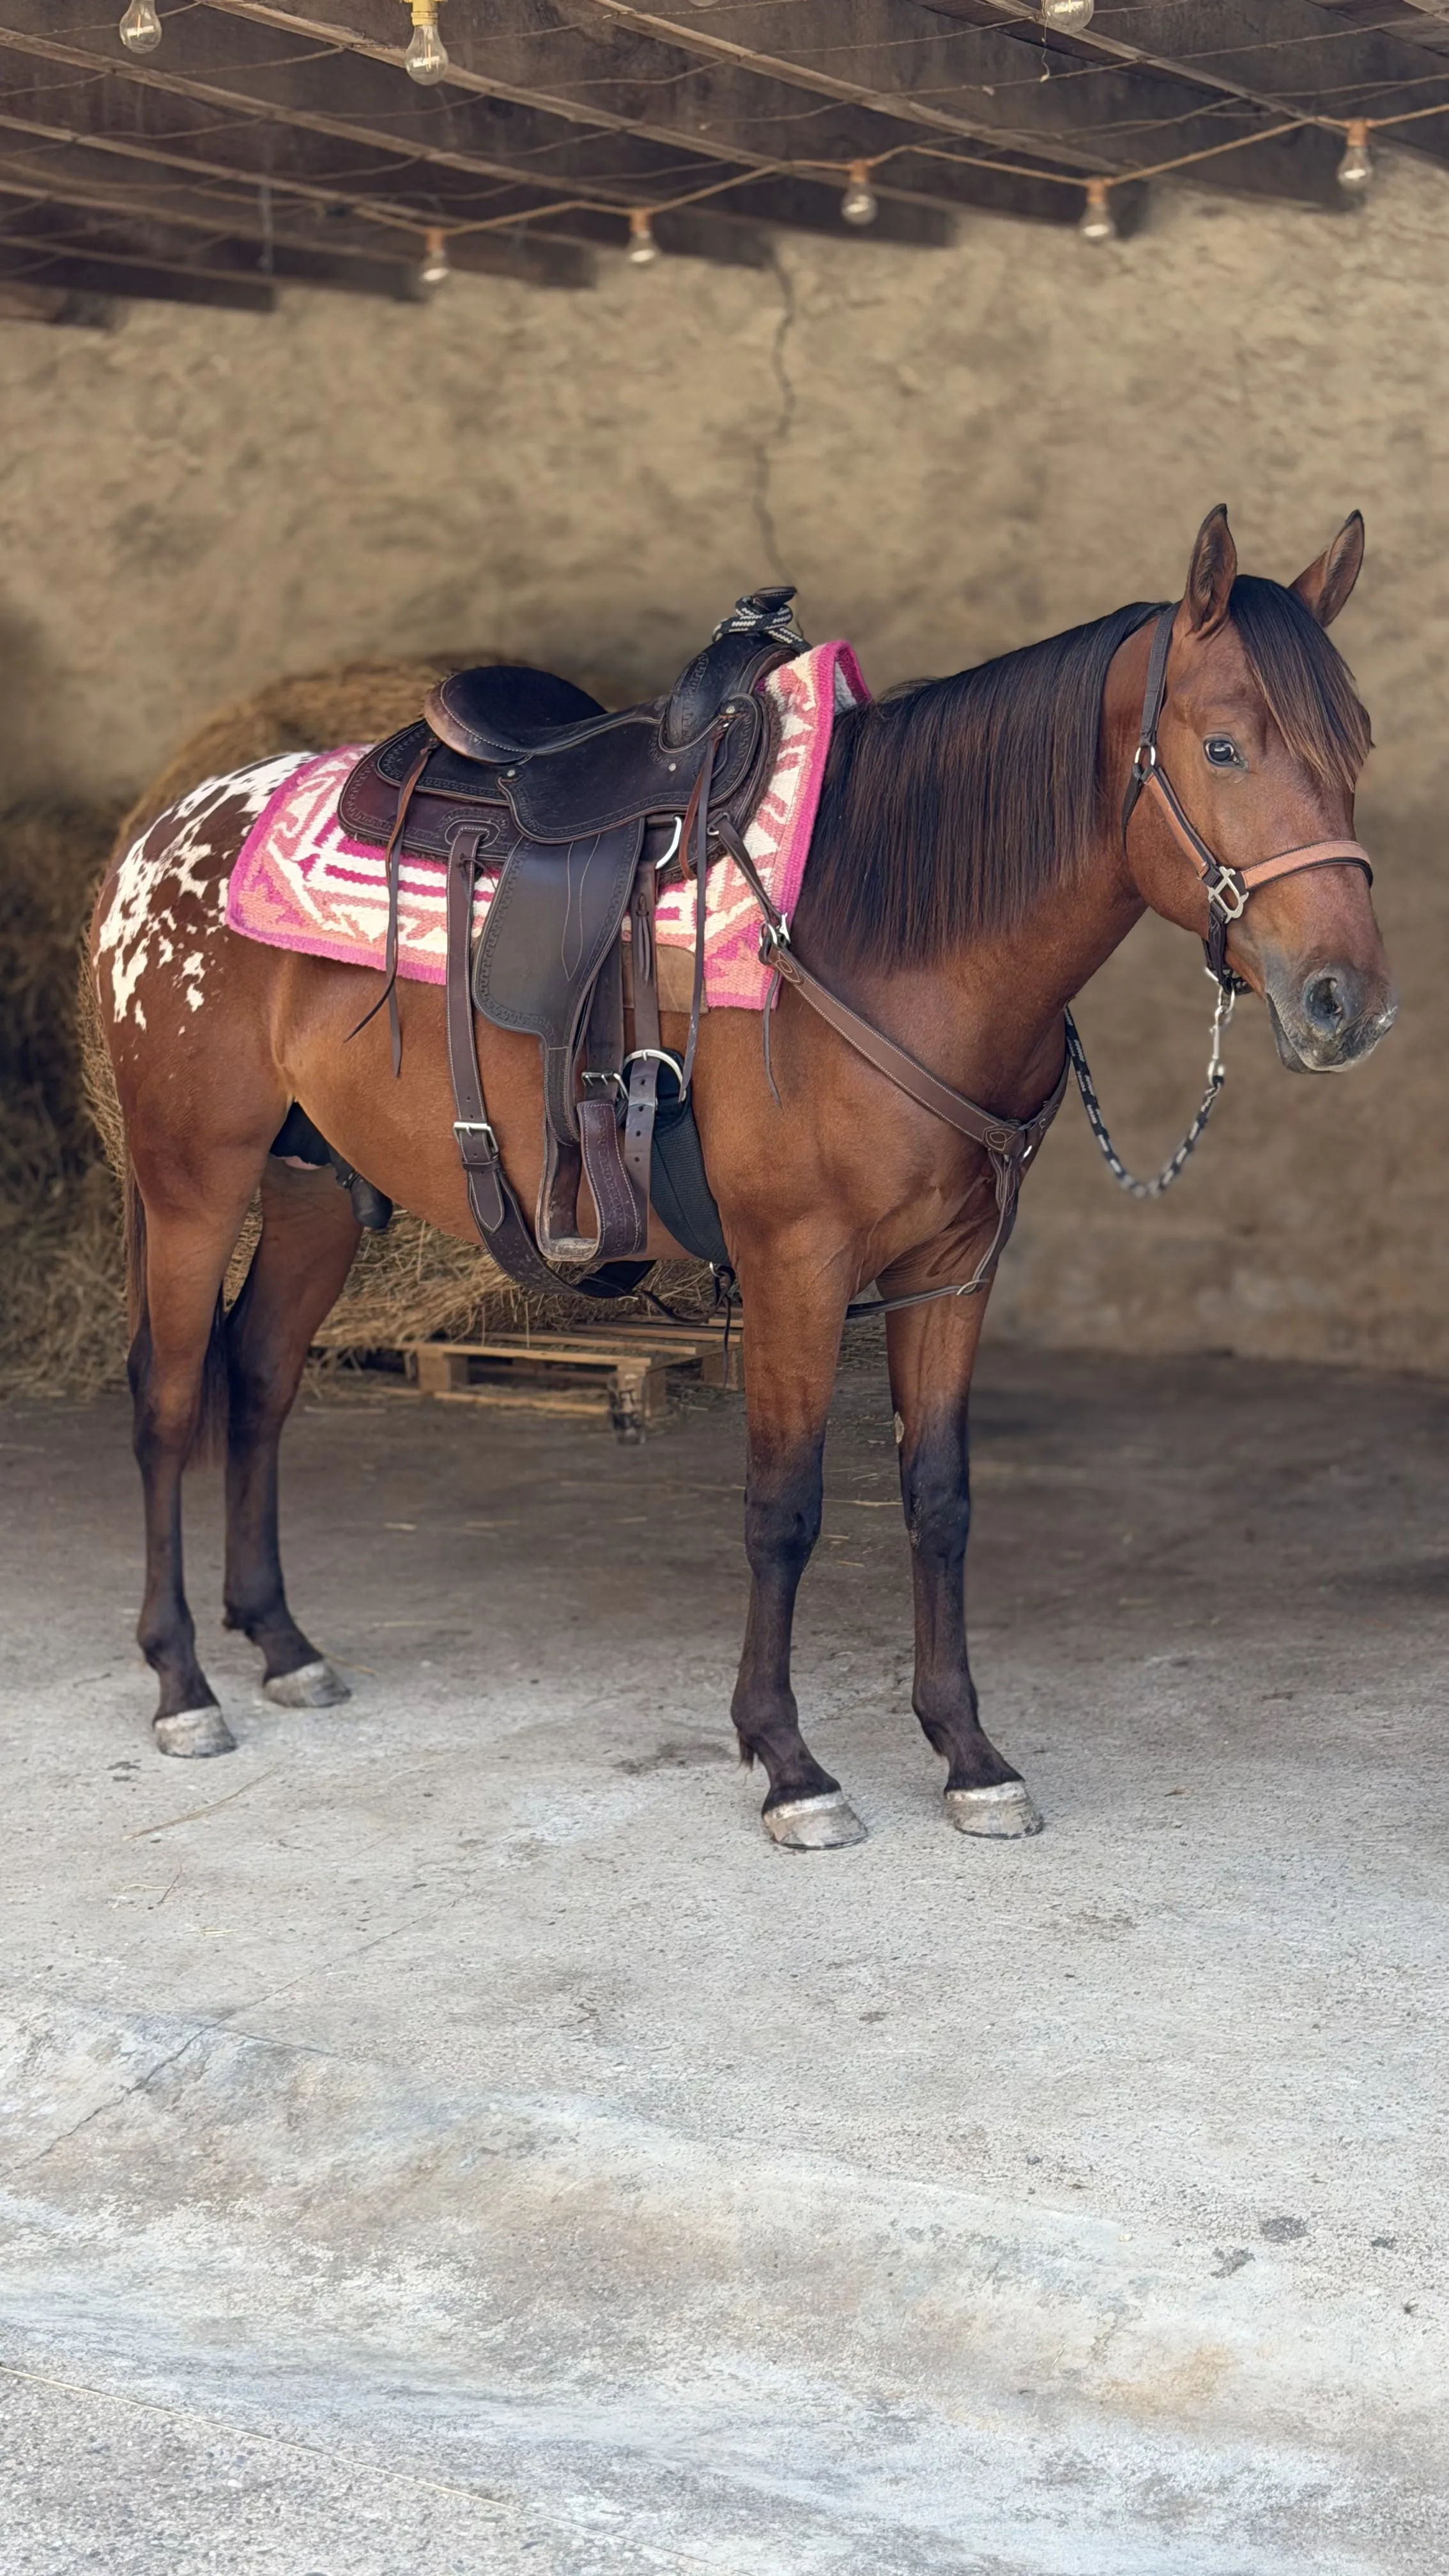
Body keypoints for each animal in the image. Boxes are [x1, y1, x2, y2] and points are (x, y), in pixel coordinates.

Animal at [89, 506, 1396, 1847]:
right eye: (1224, 746)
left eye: (1355, 739)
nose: (1342, 1002)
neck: (892, 927)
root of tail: (167, 829)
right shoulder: (793, 1263)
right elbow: (785, 1506)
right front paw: (788, 1763)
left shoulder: (949, 1271)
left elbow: (938, 1497)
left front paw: (969, 1753)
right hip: (193, 1179)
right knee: (169, 1396)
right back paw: (183, 1684)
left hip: (313, 1184)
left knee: (259, 1373)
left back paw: (284, 1647)